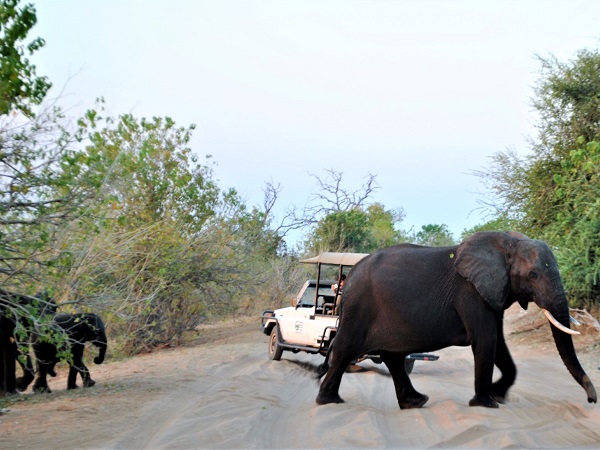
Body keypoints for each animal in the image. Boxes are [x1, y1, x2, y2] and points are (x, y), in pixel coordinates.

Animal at [316, 230, 596, 410]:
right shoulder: (471, 293)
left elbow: (499, 343)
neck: (509, 243)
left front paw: (499, 396)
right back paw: (329, 402)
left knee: (393, 357)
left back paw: (416, 402)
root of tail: (348, 276)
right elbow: (486, 340)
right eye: (533, 275)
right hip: (359, 308)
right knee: (345, 350)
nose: (592, 400)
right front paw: (487, 404)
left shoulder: (493, 291)